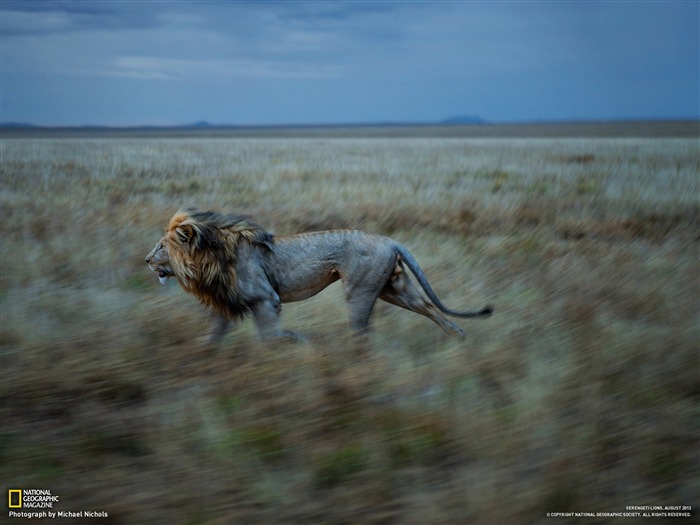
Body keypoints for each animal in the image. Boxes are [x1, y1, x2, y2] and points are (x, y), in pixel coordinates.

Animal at [145, 209, 492, 344]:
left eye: (161, 246)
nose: (146, 260)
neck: (207, 259)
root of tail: (390, 240)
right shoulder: (226, 304)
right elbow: (212, 338)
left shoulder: (265, 299)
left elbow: (272, 337)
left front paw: (299, 343)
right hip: (392, 289)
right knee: (429, 307)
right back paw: (459, 337)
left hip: (360, 291)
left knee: (362, 331)